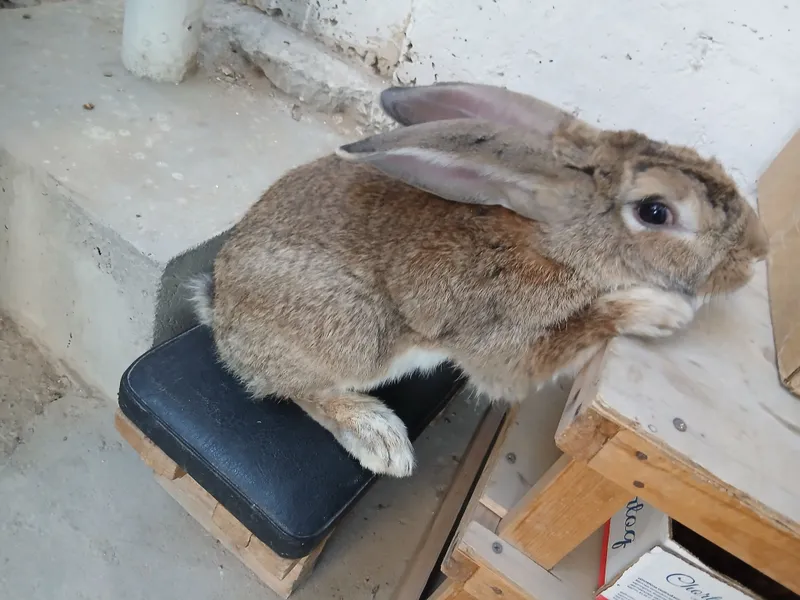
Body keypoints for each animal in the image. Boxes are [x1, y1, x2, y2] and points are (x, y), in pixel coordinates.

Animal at [190, 82, 768, 477]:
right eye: (655, 212)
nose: (757, 253)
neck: (559, 244)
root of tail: (220, 305)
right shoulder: (501, 344)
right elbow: (560, 344)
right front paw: (658, 311)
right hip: (355, 331)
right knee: (291, 388)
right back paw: (379, 438)